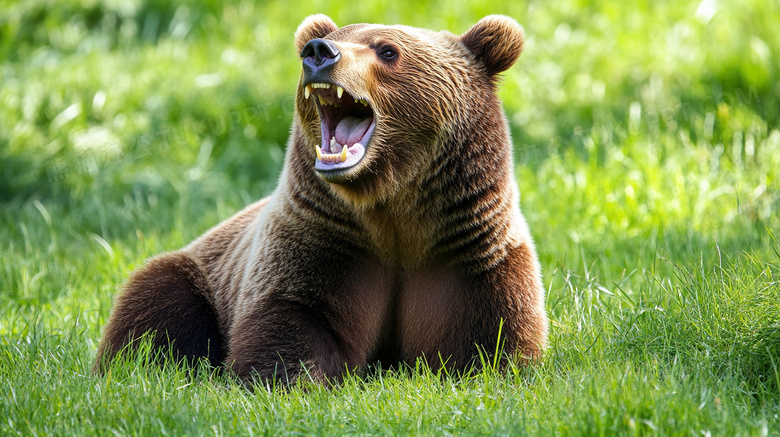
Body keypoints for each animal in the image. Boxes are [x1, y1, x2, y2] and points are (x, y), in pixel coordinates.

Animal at [94, 13, 548, 384]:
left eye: (387, 50)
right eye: (334, 37)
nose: (317, 52)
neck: (394, 211)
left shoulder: (468, 254)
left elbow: (492, 340)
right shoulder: (323, 244)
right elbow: (290, 319)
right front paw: (290, 379)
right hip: (200, 275)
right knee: (154, 307)